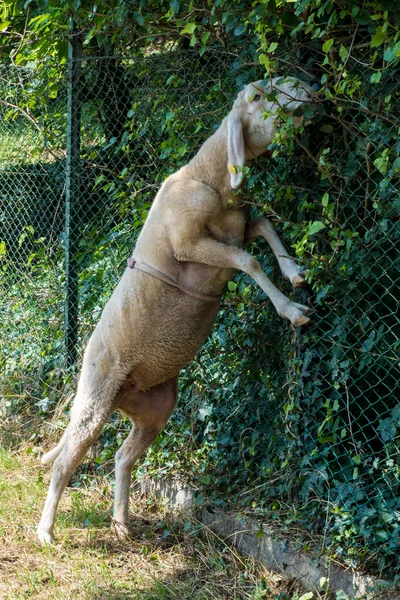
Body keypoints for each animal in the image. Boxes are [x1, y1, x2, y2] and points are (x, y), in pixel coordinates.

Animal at [37, 75, 318, 544]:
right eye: (258, 97)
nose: (304, 84)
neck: (206, 178)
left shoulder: (237, 227)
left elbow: (264, 227)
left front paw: (295, 272)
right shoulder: (190, 244)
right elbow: (249, 261)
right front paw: (291, 309)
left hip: (155, 409)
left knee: (123, 457)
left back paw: (121, 523)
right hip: (94, 399)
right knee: (65, 461)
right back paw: (46, 531)